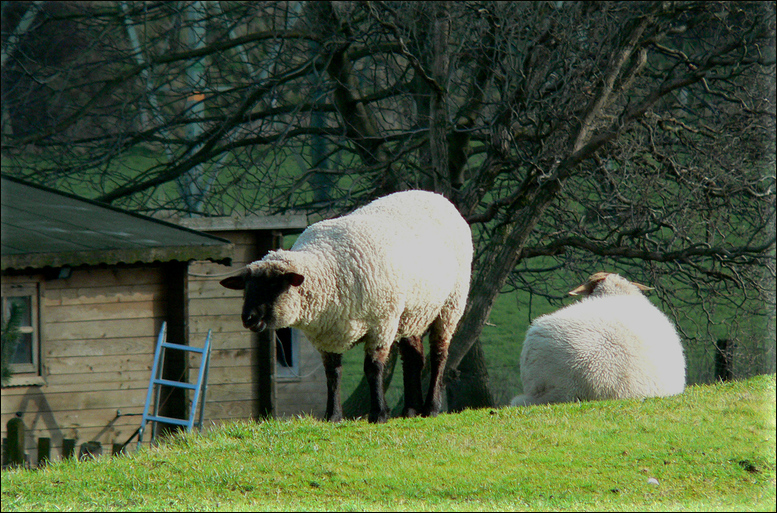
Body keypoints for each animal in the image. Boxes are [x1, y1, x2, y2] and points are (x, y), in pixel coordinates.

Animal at [220, 190, 472, 422]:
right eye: (246, 287)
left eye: (274, 285)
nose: (248, 318)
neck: (329, 269)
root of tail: (436, 195)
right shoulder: (328, 335)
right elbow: (333, 374)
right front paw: (332, 416)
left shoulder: (382, 322)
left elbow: (373, 368)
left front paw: (378, 414)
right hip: (412, 314)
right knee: (414, 359)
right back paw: (411, 410)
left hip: (450, 304)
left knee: (439, 354)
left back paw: (431, 407)